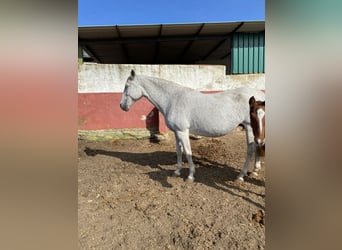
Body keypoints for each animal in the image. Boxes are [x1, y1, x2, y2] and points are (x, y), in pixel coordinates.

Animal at [119, 70, 264, 182]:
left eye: (127, 86)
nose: (122, 106)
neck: (172, 99)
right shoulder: (177, 132)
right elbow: (179, 151)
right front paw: (177, 171)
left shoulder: (183, 131)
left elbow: (188, 152)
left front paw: (190, 176)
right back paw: (254, 170)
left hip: (249, 127)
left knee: (251, 149)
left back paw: (241, 176)